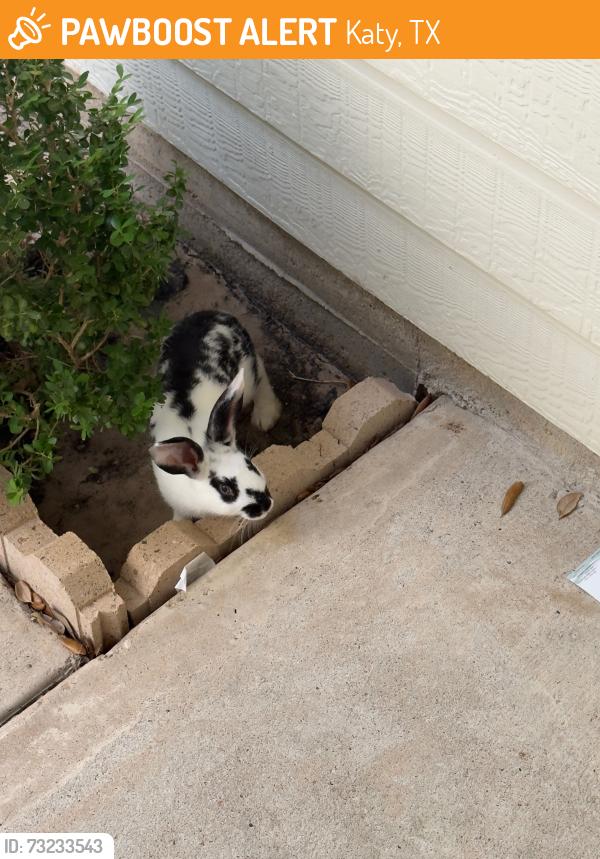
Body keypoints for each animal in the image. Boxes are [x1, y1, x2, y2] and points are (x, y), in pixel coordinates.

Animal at [149, 311, 281, 522]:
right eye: (225, 488)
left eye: (249, 464)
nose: (266, 504)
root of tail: (211, 314)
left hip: (247, 373)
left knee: (259, 371)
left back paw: (265, 416)